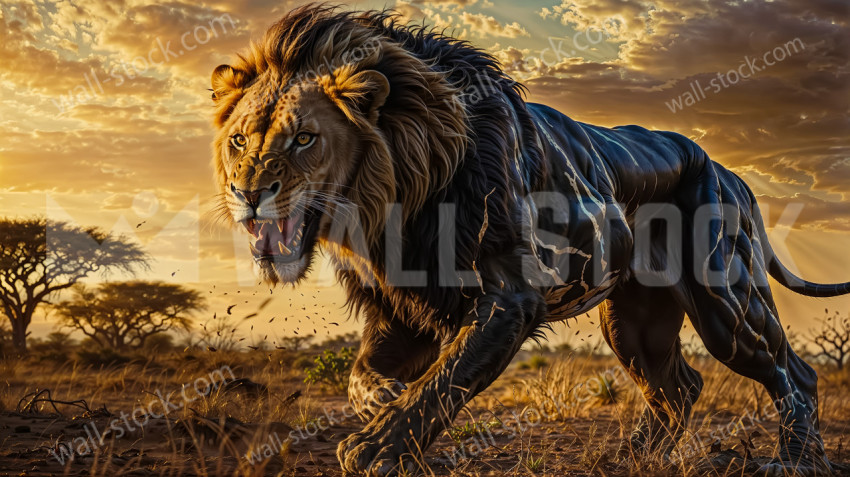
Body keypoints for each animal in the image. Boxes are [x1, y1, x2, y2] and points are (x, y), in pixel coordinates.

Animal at [210, 5, 849, 476]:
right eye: (239, 140)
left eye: (304, 139)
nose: (248, 192)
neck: (391, 207)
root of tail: (732, 173)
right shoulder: (401, 314)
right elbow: (362, 376)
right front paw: (382, 401)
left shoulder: (511, 297)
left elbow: (447, 379)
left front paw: (375, 447)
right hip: (635, 322)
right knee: (679, 386)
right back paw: (631, 458)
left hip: (726, 303)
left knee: (793, 373)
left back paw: (794, 462)